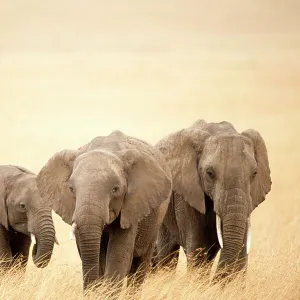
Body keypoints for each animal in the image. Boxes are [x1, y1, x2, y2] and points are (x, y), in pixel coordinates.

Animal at [155, 119, 272, 282]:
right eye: (210, 174)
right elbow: (197, 247)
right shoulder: (187, 194)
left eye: (254, 173)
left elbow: (241, 247)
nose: (213, 282)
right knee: (167, 253)